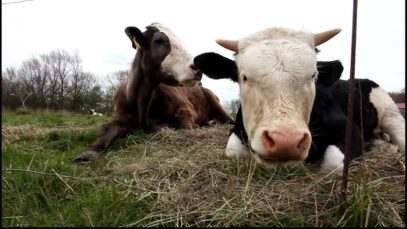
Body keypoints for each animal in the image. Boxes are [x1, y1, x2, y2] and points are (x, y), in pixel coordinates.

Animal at [194, 26, 404, 172]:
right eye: (244, 77)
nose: (285, 141)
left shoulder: (349, 128)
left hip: (391, 114)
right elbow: (233, 151)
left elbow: (334, 163)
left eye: (313, 75)